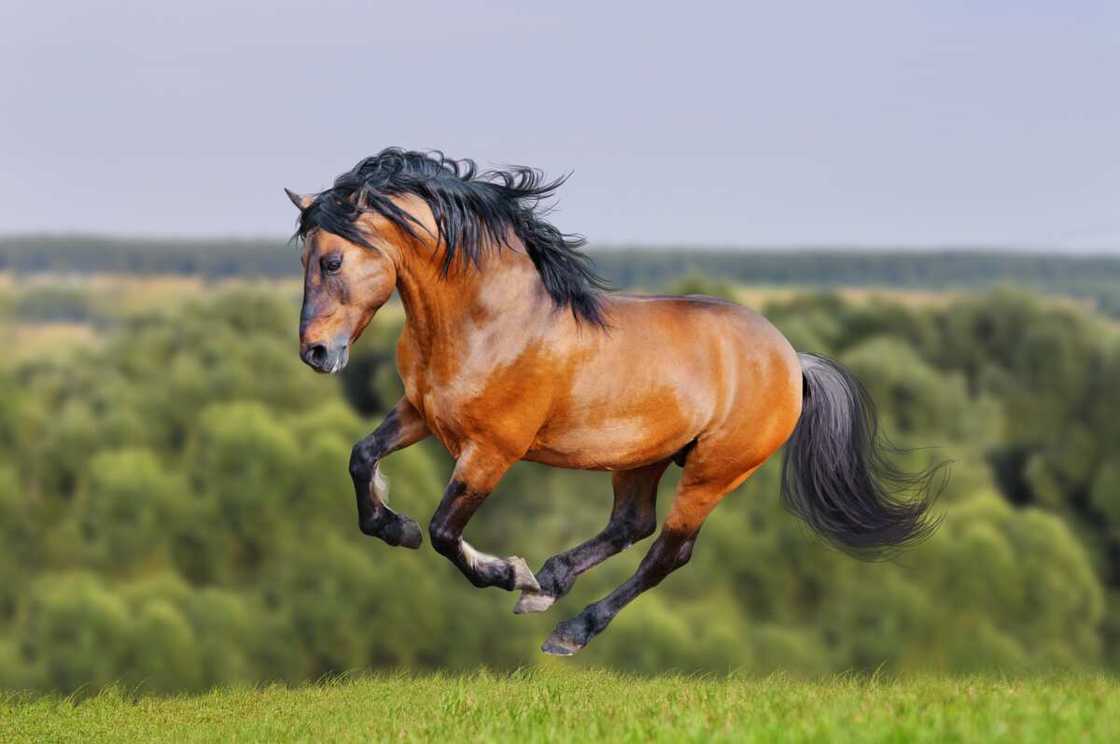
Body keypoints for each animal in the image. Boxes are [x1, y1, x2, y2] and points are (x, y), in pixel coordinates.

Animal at [284, 150, 940, 658]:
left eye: (333, 259)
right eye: (304, 258)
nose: (315, 352)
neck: (486, 320)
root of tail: (790, 359)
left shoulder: (493, 450)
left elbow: (447, 531)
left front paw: (508, 571)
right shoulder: (420, 412)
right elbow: (361, 457)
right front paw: (397, 529)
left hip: (714, 471)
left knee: (668, 551)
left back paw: (569, 628)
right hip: (643, 456)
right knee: (632, 524)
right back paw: (551, 582)